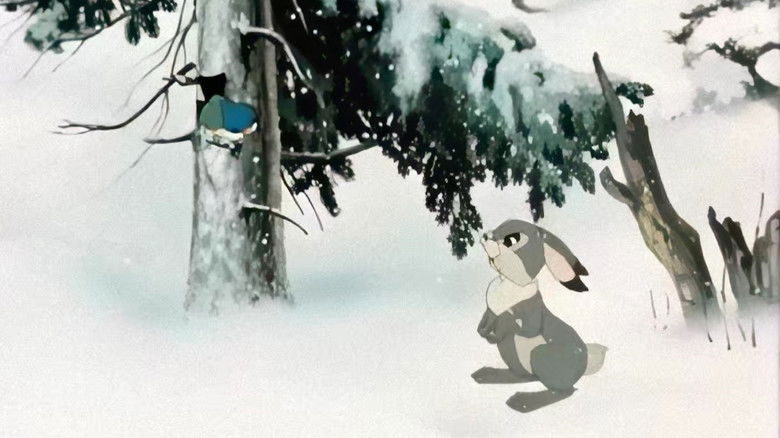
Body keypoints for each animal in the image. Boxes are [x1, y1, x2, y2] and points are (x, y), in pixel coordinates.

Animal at [472, 219, 607, 411]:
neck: (511, 283)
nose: (485, 235)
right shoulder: (490, 310)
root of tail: (585, 363)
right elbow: (487, 320)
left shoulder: (531, 309)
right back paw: (487, 374)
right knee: (522, 377)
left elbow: (526, 327)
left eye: (512, 239)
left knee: (564, 391)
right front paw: (483, 331)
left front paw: (499, 327)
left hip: (540, 355)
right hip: (510, 353)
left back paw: (523, 402)